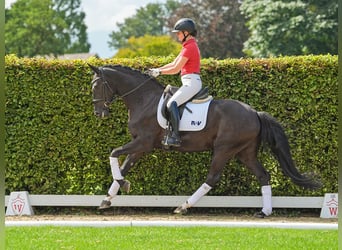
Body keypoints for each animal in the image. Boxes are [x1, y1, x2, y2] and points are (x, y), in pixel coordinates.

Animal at [88, 64, 320, 217]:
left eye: (96, 86)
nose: (99, 113)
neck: (144, 100)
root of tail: (254, 112)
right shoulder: (140, 146)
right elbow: (123, 166)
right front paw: (108, 197)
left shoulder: (143, 142)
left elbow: (113, 153)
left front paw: (121, 186)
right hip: (245, 152)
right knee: (263, 175)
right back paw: (265, 211)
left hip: (224, 149)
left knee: (212, 177)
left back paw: (183, 206)